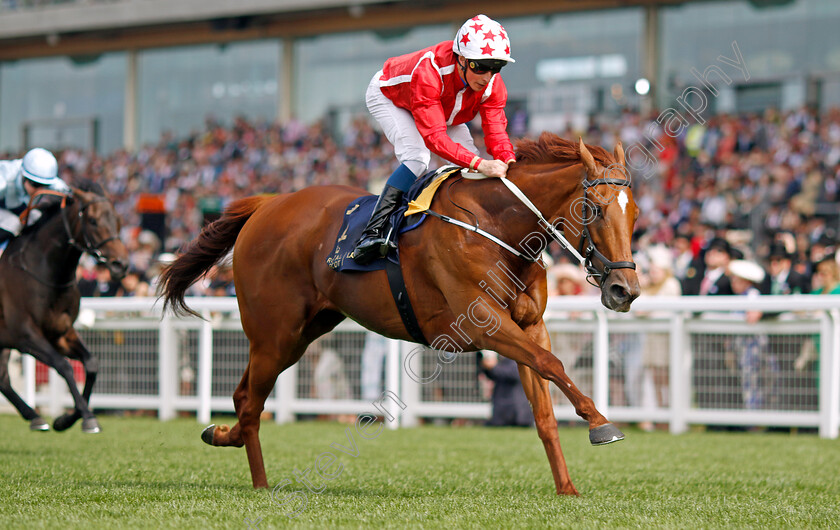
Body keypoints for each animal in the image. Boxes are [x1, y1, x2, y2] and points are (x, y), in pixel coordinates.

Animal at [0, 179, 129, 432]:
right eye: (93, 220)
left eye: (118, 220)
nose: (121, 264)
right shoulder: (25, 336)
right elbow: (64, 365)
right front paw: (86, 417)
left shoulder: (61, 333)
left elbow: (91, 364)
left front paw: (67, 419)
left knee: (2, 378)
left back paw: (34, 416)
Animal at [161, 133, 640, 496]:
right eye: (595, 209)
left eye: (634, 213)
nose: (625, 290)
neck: (496, 226)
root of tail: (266, 204)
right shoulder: (484, 325)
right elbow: (552, 364)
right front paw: (601, 424)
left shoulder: (530, 326)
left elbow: (543, 407)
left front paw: (567, 488)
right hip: (273, 333)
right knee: (251, 402)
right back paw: (259, 483)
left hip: (300, 334)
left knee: (244, 396)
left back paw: (220, 435)